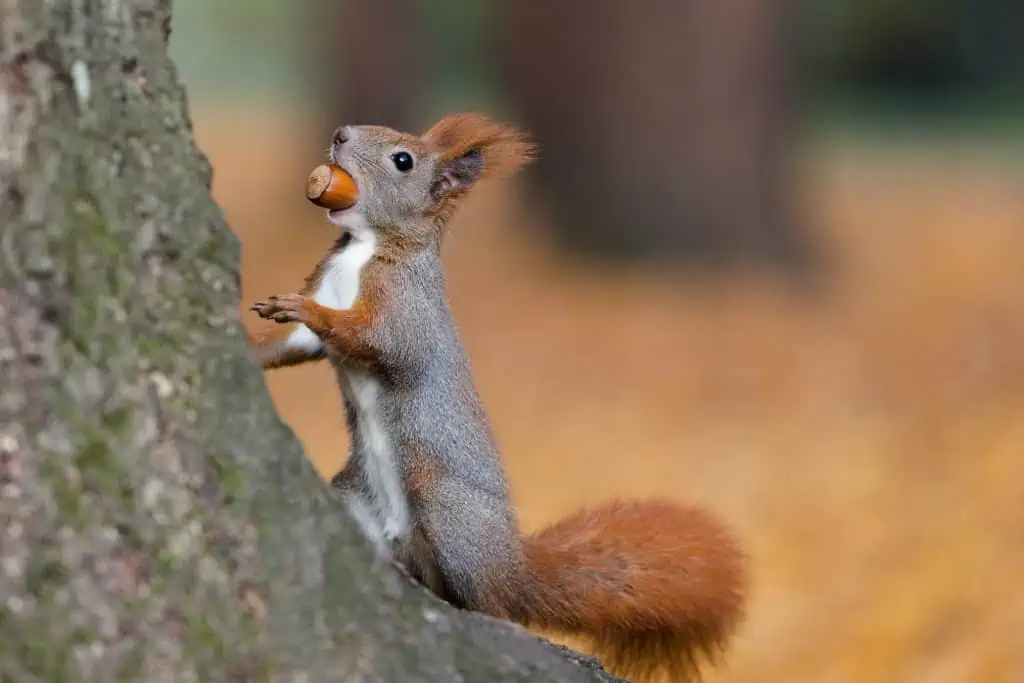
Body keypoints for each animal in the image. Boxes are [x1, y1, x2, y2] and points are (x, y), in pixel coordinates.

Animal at [245, 113, 745, 683]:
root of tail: (511, 570)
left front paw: (300, 307)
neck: (362, 247)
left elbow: (375, 342)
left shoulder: (406, 311)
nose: (341, 134)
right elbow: (294, 346)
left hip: (448, 512)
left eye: (403, 161)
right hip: (356, 499)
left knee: (492, 605)